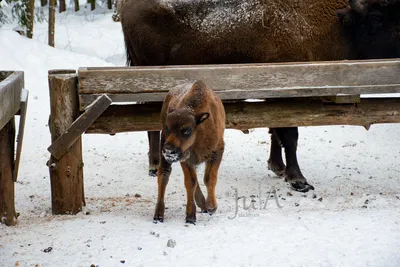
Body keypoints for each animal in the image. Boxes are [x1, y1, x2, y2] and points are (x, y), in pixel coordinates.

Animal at [120, 0, 400, 193]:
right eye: (376, 20)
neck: (336, 24)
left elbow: (276, 130)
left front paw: (278, 167)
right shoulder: (286, 94)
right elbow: (290, 135)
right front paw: (299, 180)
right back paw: (155, 165)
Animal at [154, 80, 225, 224]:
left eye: (187, 130)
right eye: (167, 128)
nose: (168, 150)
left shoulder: (217, 152)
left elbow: (209, 178)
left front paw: (211, 207)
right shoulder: (185, 158)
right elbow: (190, 183)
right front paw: (191, 216)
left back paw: (204, 205)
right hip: (165, 153)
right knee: (164, 175)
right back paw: (158, 215)